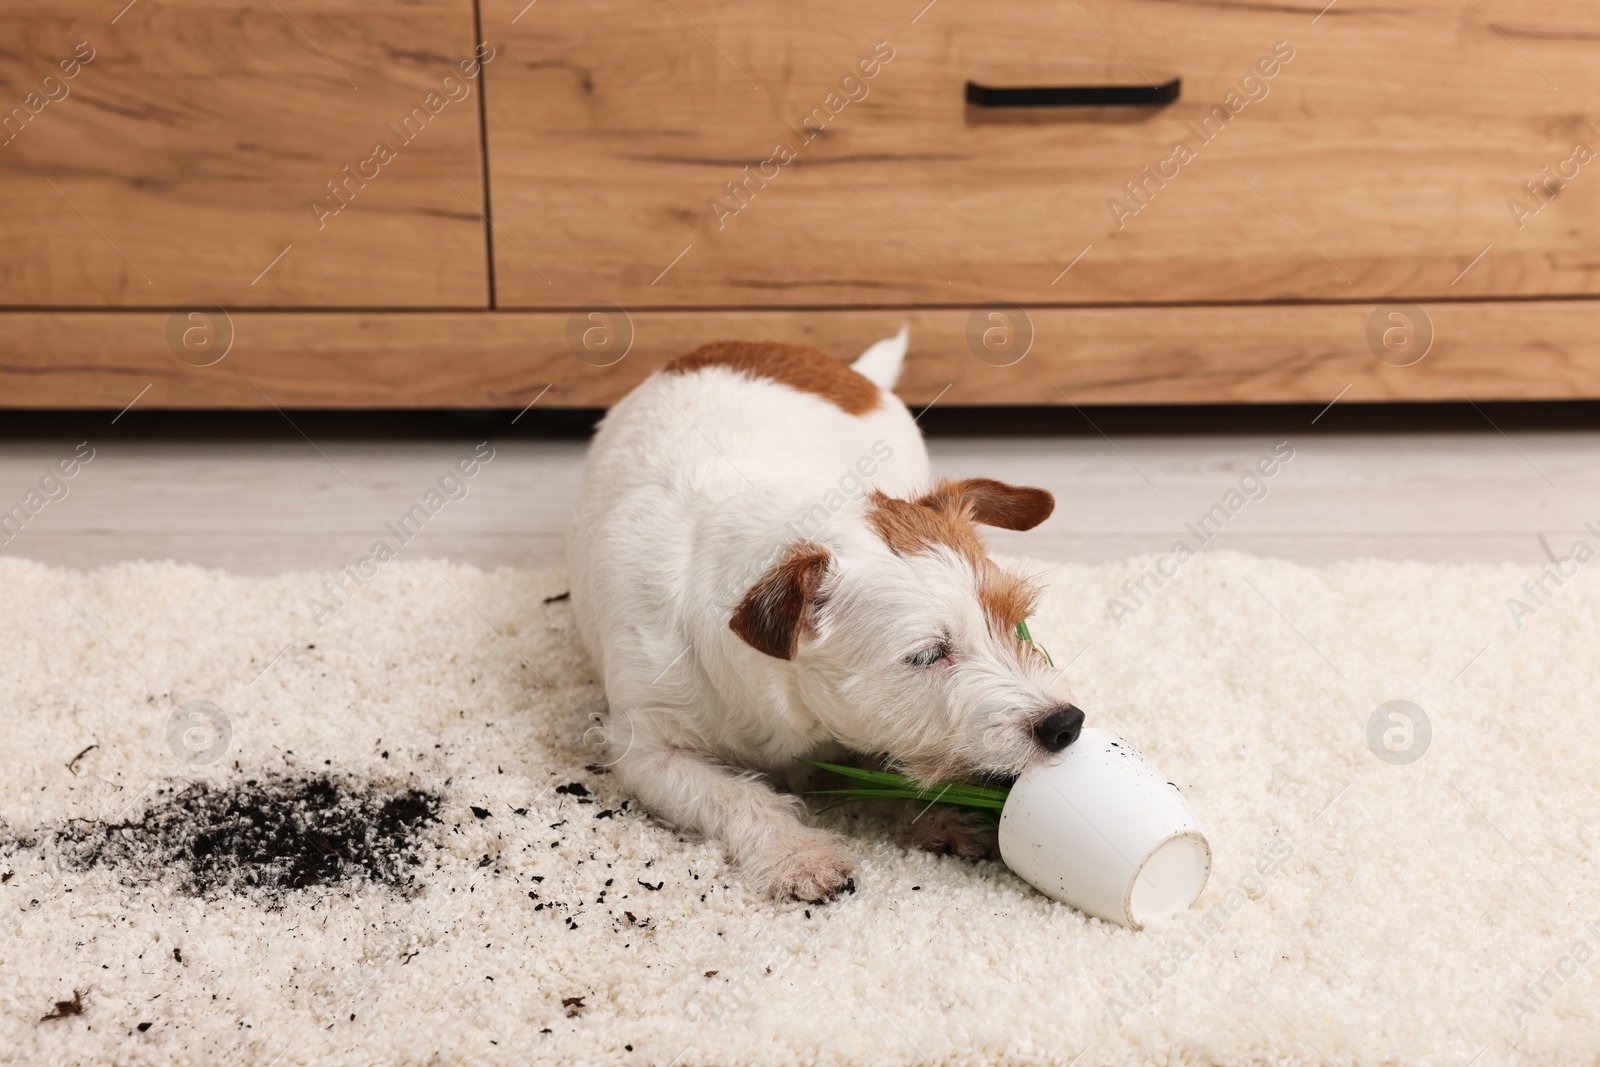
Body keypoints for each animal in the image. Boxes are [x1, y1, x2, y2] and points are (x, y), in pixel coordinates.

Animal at [569, 327, 1081, 902]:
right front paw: (797, 854)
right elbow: (735, 795)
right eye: (928, 655)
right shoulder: (647, 752)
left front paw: (934, 817)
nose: (1066, 723)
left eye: (1014, 618)